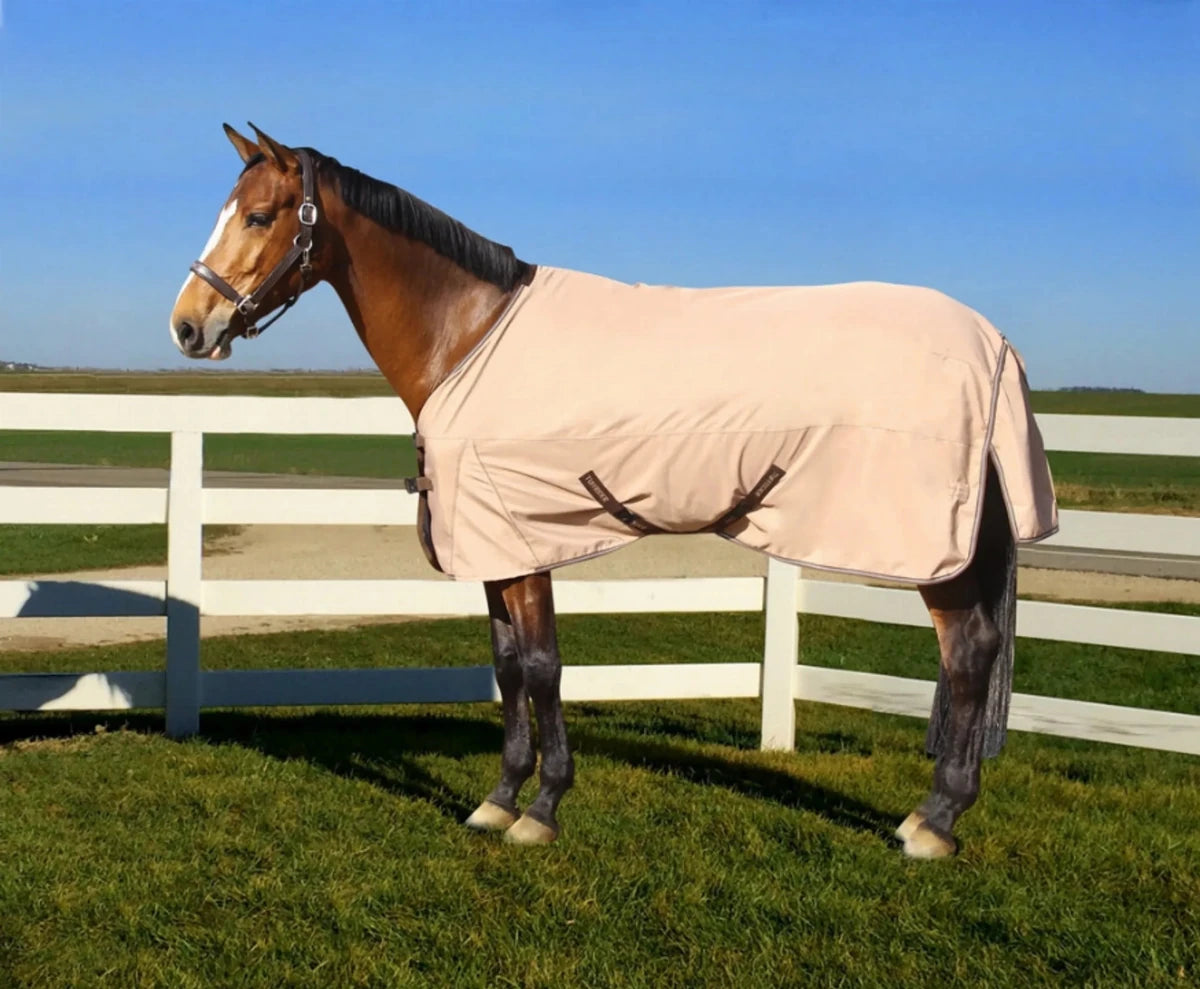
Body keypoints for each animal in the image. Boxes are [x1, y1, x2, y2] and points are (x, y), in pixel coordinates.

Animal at [170, 124, 1057, 859]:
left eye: (259, 216)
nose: (187, 325)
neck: (470, 333)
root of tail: (992, 341)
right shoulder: (497, 547)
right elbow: (507, 667)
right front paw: (498, 799)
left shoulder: (524, 540)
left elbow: (541, 666)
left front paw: (542, 809)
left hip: (934, 549)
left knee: (967, 654)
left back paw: (934, 822)